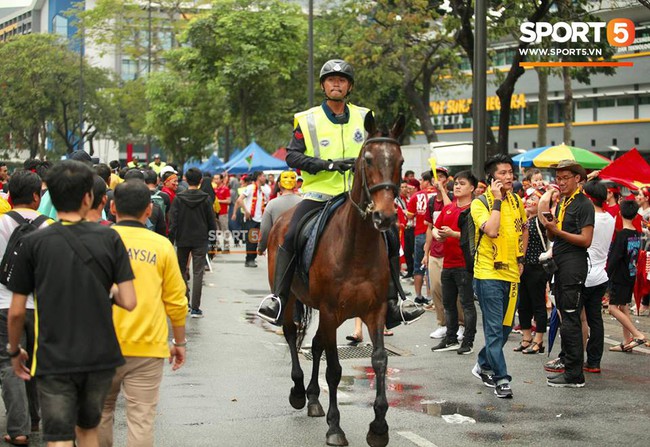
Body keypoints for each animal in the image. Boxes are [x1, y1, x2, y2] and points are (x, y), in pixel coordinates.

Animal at [266, 114, 402, 446]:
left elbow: (379, 360)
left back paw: (314, 399)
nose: (385, 217)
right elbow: (335, 370)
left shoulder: (374, 310)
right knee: (292, 335)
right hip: (293, 299)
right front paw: (335, 427)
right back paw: (299, 392)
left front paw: (378, 427)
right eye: (367, 159)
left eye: (400, 161)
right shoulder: (329, 311)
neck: (356, 247)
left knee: (315, 344)